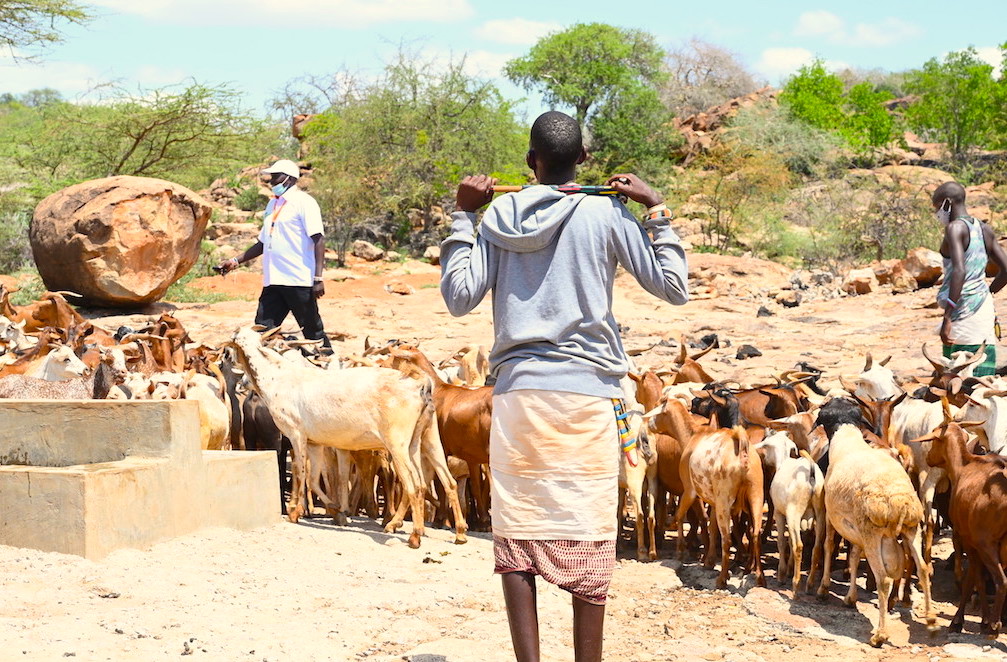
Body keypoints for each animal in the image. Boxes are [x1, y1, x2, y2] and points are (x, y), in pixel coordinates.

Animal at [757, 431, 821, 596]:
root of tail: (811, 472)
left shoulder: (779, 513)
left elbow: (782, 542)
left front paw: (782, 573)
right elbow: (791, 541)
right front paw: (790, 568)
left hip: (794, 512)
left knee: (799, 546)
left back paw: (795, 587)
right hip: (821, 514)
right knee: (817, 547)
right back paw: (810, 585)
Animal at [817, 423, 934, 644]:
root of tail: (900, 501)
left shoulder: (832, 518)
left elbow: (828, 545)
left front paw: (823, 588)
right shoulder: (857, 532)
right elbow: (853, 557)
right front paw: (850, 597)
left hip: (873, 535)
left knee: (883, 579)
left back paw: (880, 634)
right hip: (911, 529)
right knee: (922, 568)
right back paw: (931, 618)